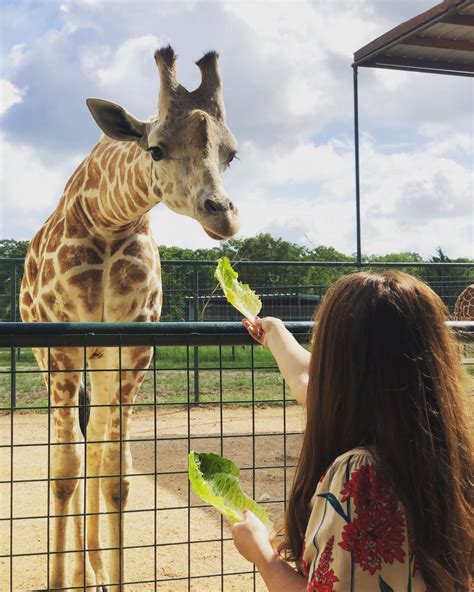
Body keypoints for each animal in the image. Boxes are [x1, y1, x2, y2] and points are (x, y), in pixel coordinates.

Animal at [19, 47, 239, 592]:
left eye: (231, 154)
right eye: (156, 150)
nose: (223, 213)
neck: (107, 221)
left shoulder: (134, 347)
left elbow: (116, 473)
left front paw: (104, 575)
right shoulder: (59, 346)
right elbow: (64, 469)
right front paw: (60, 581)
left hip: (100, 361)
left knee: (95, 443)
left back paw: (94, 569)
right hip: (53, 357)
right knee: (76, 447)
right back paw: (80, 573)